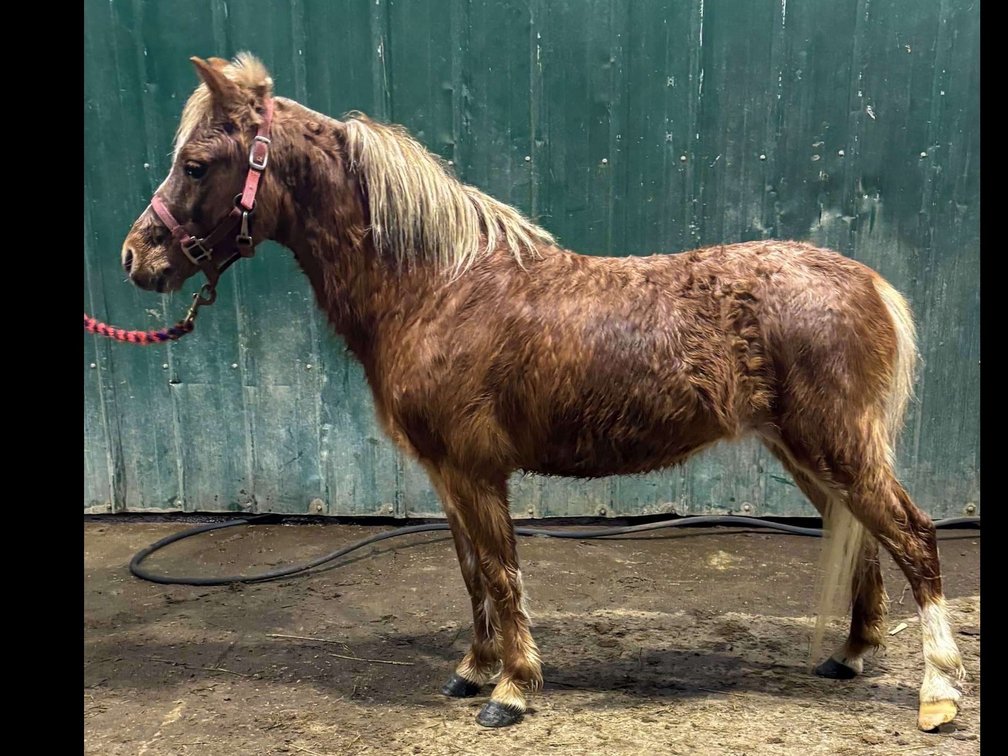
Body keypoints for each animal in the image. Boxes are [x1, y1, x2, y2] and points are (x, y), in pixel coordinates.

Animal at [118, 53, 966, 731]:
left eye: (197, 164)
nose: (135, 257)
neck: (438, 286)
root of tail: (869, 282)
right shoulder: (446, 474)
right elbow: (470, 573)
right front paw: (473, 670)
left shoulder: (475, 469)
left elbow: (501, 572)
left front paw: (514, 690)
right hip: (806, 453)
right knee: (863, 539)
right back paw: (850, 656)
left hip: (838, 446)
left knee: (915, 537)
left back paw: (938, 693)